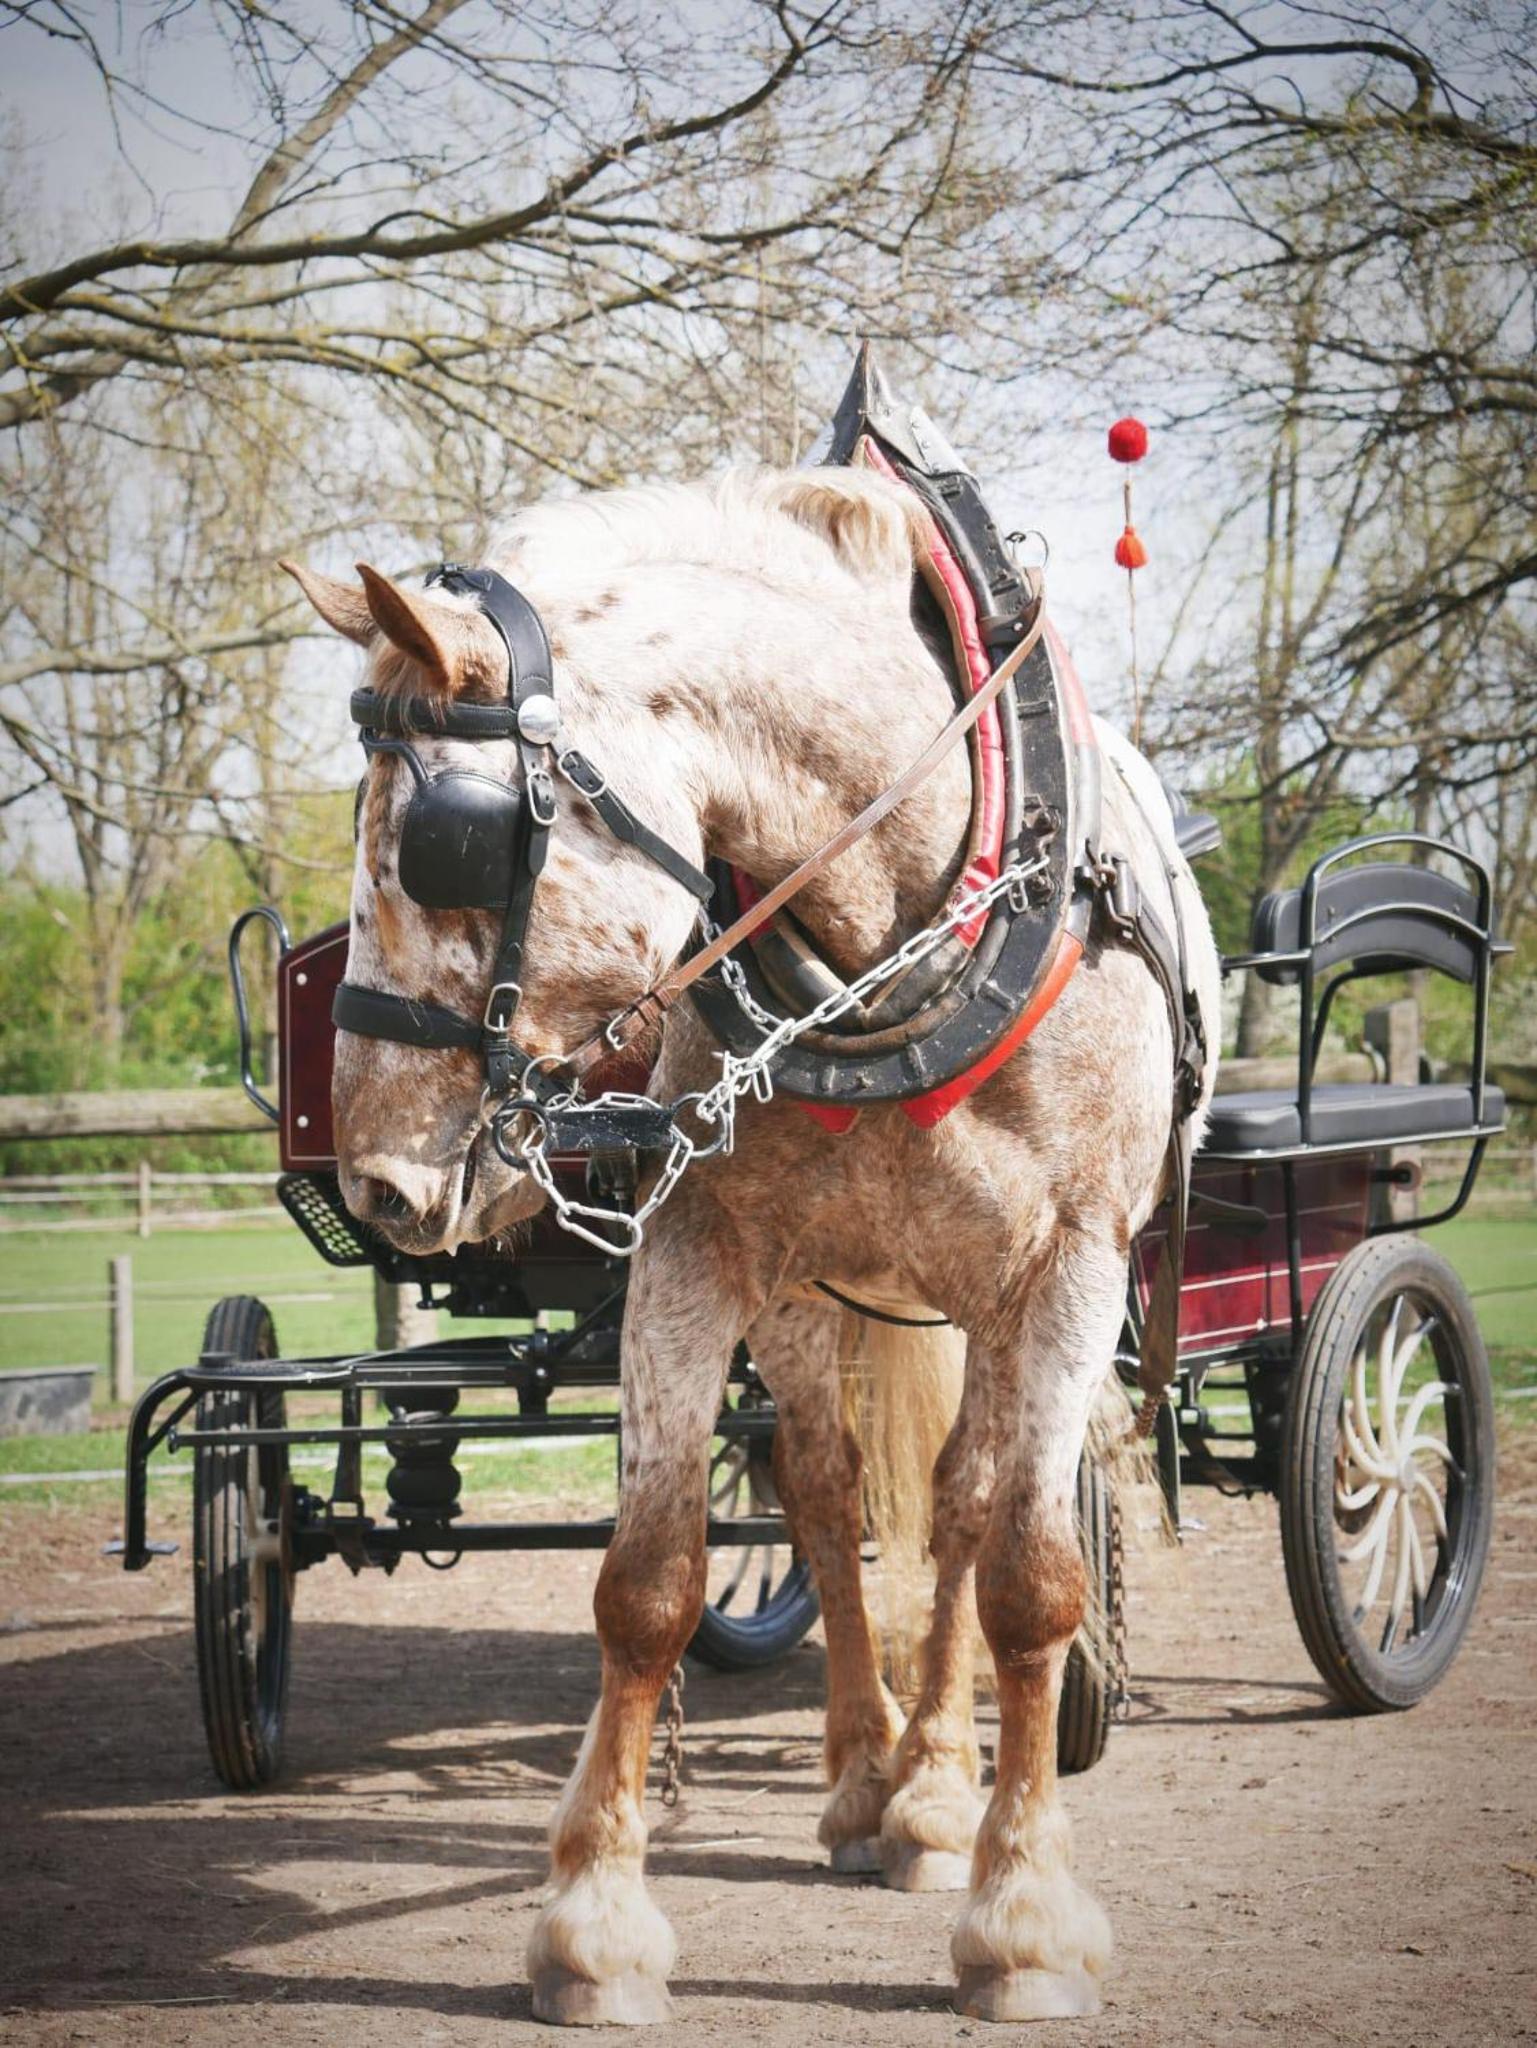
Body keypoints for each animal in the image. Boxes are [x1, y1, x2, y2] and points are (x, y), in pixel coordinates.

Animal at [284, 462, 1221, 2025]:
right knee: (829, 1496)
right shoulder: (695, 1251)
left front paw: (1023, 1917)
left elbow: (1030, 1579)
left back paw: (935, 1790)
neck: (913, 918)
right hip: (816, 1291)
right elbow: (648, 1582)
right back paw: (863, 1782)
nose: (376, 1183)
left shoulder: (1073, 1265)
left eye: (442, 842)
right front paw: (594, 1924)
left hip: (983, 1298)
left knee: (962, 1507)